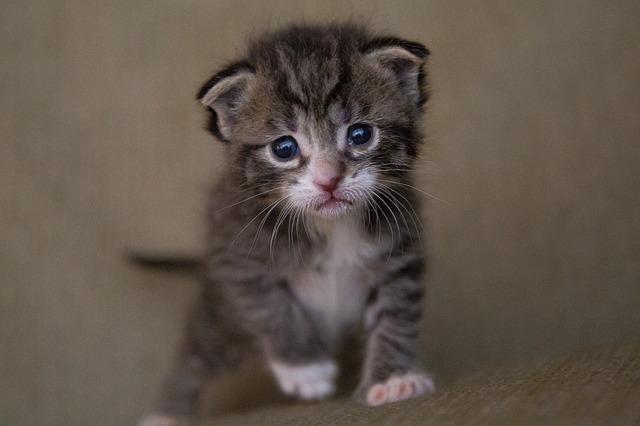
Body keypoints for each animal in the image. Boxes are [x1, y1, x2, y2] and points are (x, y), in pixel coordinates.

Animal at [141, 23, 436, 426]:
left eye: (360, 134)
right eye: (284, 148)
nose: (329, 181)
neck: (330, 227)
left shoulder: (399, 253)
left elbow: (396, 315)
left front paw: (393, 380)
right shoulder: (238, 260)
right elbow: (272, 308)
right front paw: (305, 369)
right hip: (222, 320)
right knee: (194, 355)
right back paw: (165, 414)